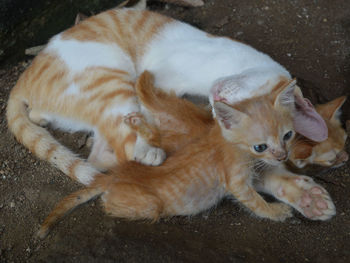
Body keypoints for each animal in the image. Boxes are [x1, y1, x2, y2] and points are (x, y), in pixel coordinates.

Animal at [6, 8, 328, 186]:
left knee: (105, 152)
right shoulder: (153, 75)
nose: (217, 99)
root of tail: (22, 80)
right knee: (120, 142)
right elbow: (150, 100)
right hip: (112, 78)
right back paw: (150, 151)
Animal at [37, 71, 334, 240]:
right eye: (260, 146)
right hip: (150, 201)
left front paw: (306, 196)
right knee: (113, 192)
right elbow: (255, 201)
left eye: (288, 135)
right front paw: (276, 211)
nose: (282, 155)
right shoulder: (237, 180)